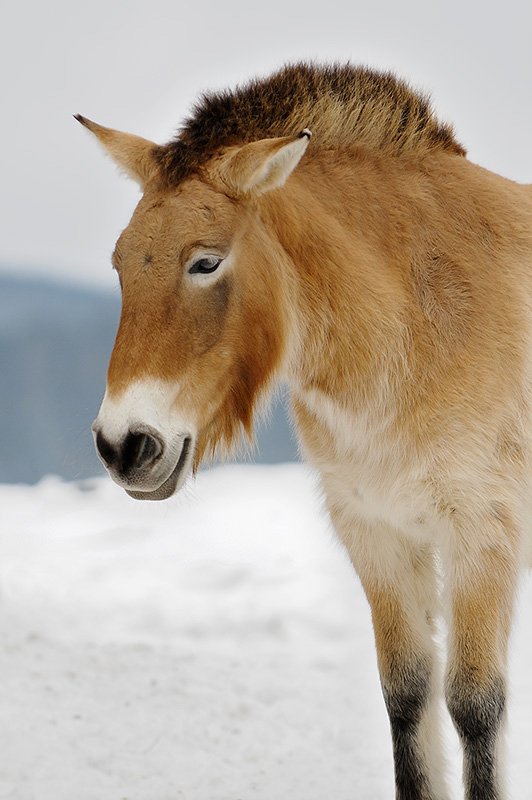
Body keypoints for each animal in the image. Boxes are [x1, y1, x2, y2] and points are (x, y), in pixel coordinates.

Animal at [75, 64, 532, 800]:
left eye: (205, 262)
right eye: (121, 261)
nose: (124, 445)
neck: (418, 318)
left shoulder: (481, 535)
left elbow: (474, 706)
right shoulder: (376, 534)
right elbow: (407, 697)